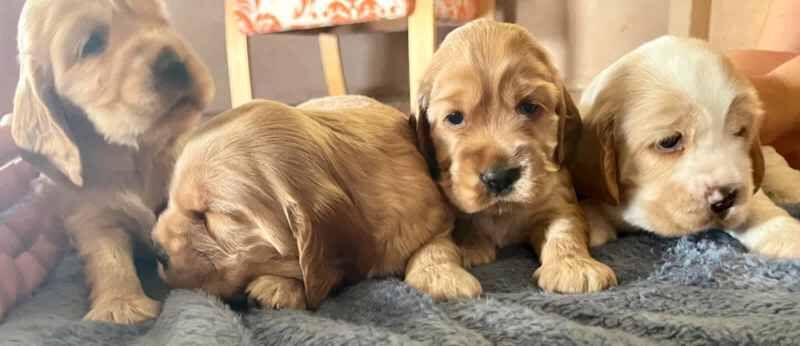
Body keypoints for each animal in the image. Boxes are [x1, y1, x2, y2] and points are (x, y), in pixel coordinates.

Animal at [13, 0, 212, 324]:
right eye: (91, 44)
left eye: (161, 20)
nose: (174, 63)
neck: (132, 151)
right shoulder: (93, 216)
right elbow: (108, 257)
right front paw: (121, 305)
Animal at [148, 95, 482, 308]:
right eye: (169, 200)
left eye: (213, 216)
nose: (155, 249)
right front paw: (278, 285)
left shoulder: (435, 215)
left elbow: (437, 246)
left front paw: (443, 280)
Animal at [412, 18, 620, 294]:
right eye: (455, 117)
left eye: (529, 107)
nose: (499, 177)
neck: (502, 212)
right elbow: (448, 233)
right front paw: (458, 260)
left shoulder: (558, 198)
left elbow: (565, 228)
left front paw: (574, 267)